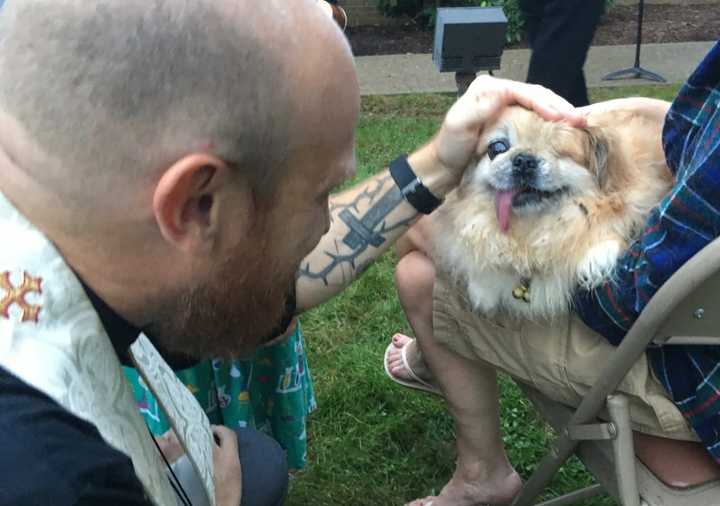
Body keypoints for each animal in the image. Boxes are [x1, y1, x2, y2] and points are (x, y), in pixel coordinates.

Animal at [430, 98, 672, 318]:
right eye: (497, 148)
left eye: (558, 150)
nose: (523, 159)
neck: (530, 232)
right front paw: (482, 286)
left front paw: (598, 253)